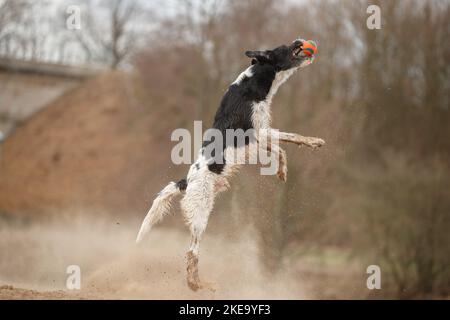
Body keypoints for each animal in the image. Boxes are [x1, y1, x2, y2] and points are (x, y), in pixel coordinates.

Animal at [135, 38, 326, 292]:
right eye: (284, 47)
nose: (299, 40)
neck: (254, 81)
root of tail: (186, 182)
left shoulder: (260, 137)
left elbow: (281, 150)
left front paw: (282, 171)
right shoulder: (259, 132)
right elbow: (292, 137)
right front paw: (315, 142)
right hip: (201, 214)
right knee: (191, 254)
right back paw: (199, 286)